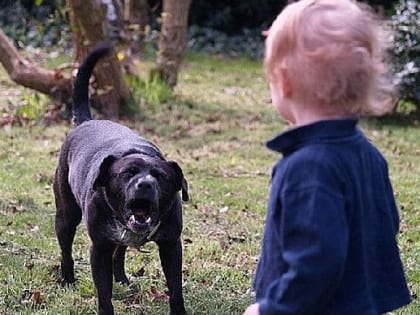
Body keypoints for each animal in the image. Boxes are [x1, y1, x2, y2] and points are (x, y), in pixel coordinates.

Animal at [53, 45, 188, 315]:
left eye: (160, 176)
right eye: (127, 173)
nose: (145, 184)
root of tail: (86, 121)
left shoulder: (171, 245)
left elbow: (175, 287)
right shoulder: (99, 249)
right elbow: (103, 294)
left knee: (120, 253)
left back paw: (122, 279)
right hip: (65, 215)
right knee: (66, 250)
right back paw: (68, 279)